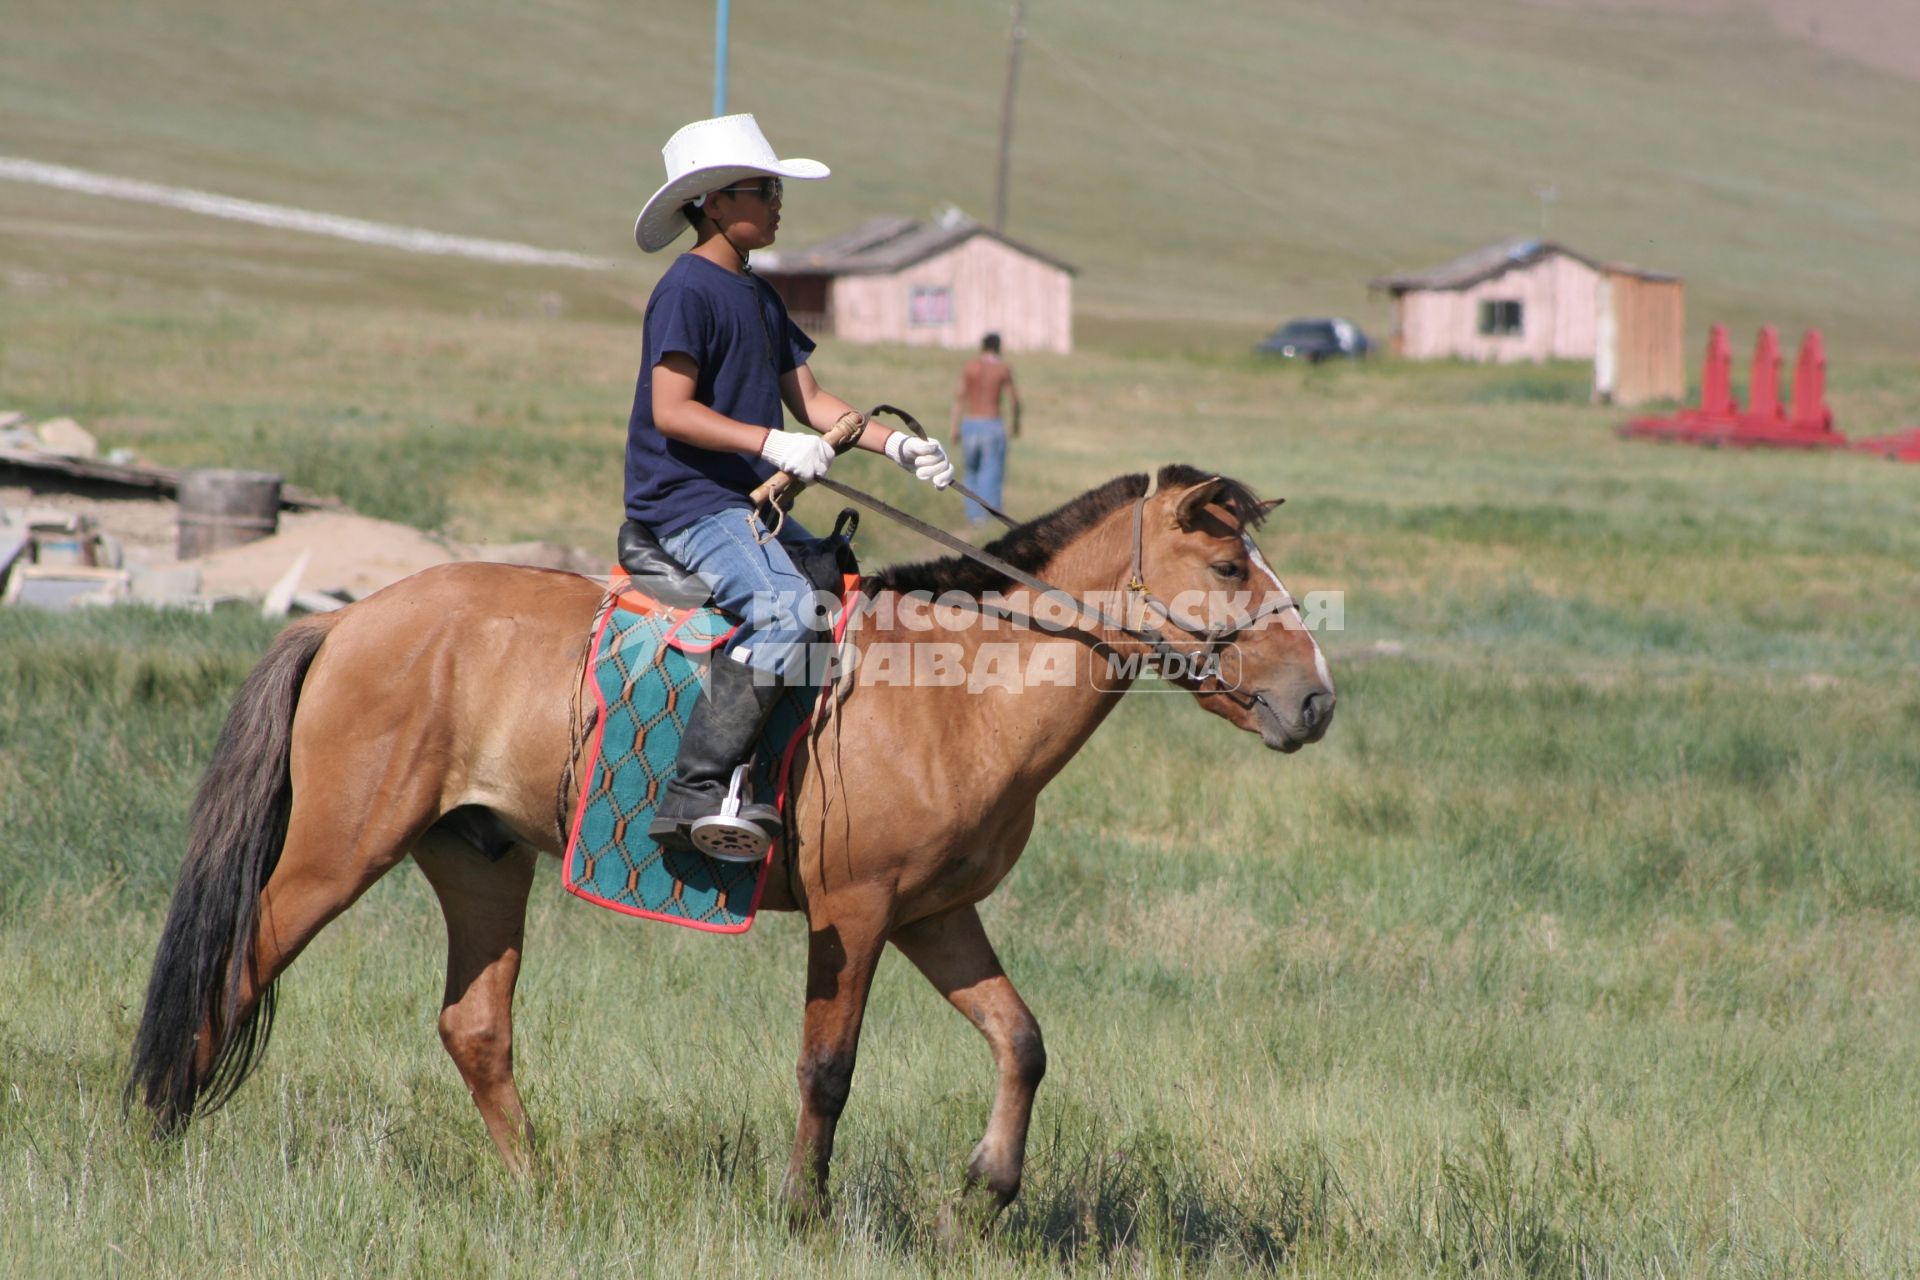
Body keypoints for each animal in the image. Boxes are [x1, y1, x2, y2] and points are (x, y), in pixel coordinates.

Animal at [123, 466, 1336, 1228]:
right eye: (1230, 568)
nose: (1315, 701)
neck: (955, 693)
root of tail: (349, 618)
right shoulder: (856, 913)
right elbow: (828, 1066)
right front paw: (804, 1210)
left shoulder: (936, 915)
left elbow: (1022, 1041)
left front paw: (985, 1190)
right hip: (340, 850)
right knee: (234, 968)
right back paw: (156, 1134)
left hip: (479, 858)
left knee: (474, 1027)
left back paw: (545, 1192)